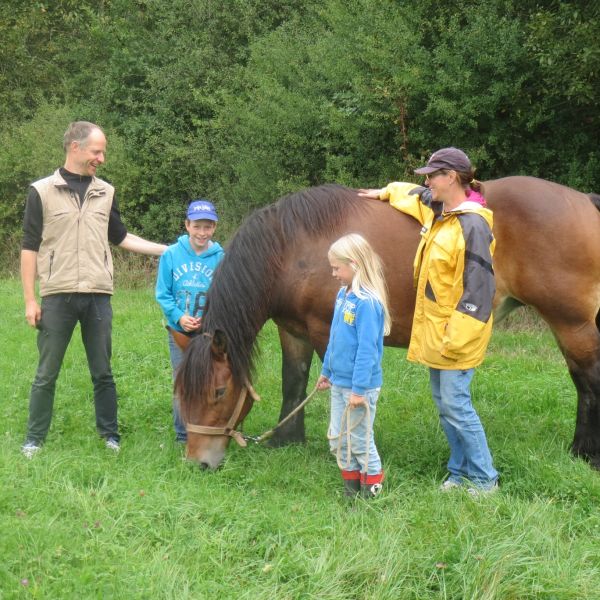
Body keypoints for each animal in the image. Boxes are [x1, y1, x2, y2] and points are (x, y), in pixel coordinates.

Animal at [176, 177, 600, 468]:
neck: (290, 248)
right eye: (181, 393)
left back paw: (585, 453)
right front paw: (287, 439)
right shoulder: (292, 330)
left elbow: (341, 388)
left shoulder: (328, 331)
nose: (199, 462)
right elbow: (292, 382)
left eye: (217, 392)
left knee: (588, 380)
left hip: (572, 323)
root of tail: (585, 200)